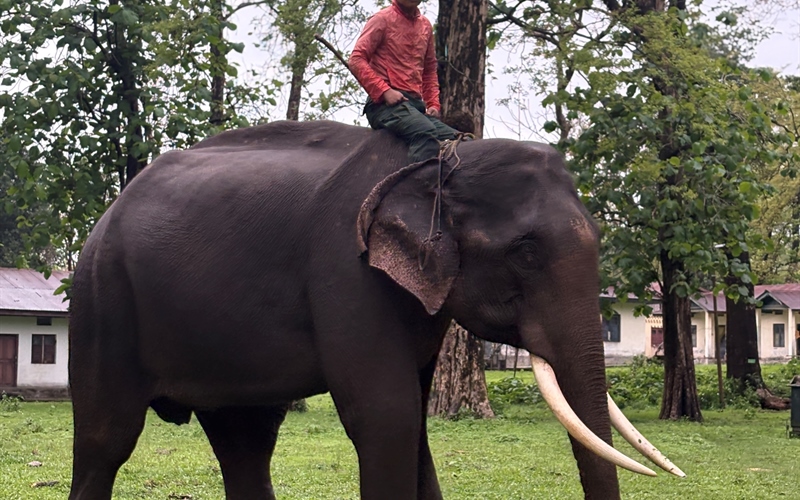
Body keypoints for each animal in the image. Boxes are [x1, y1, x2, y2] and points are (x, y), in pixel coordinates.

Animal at [67, 120, 683, 500]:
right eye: (526, 251)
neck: (439, 163)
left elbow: (415, 423)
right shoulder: (348, 271)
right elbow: (387, 416)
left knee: (245, 438)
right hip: (103, 299)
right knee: (106, 440)